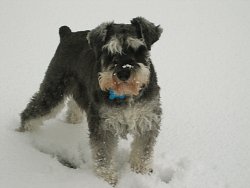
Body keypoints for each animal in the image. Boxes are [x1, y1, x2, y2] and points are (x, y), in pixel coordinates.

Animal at [17, 16, 162, 185]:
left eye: (138, 49)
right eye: (109, 52)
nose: (123, 73)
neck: (127, 94)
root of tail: (67, 34)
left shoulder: (147, 119)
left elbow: (143, 150)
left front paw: (141, 171)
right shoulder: (103, 124)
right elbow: (103, 153)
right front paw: (108, 177)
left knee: (74, 103)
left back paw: (73, 119)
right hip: (54, 90)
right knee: (32, 111)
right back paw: (24, 135)